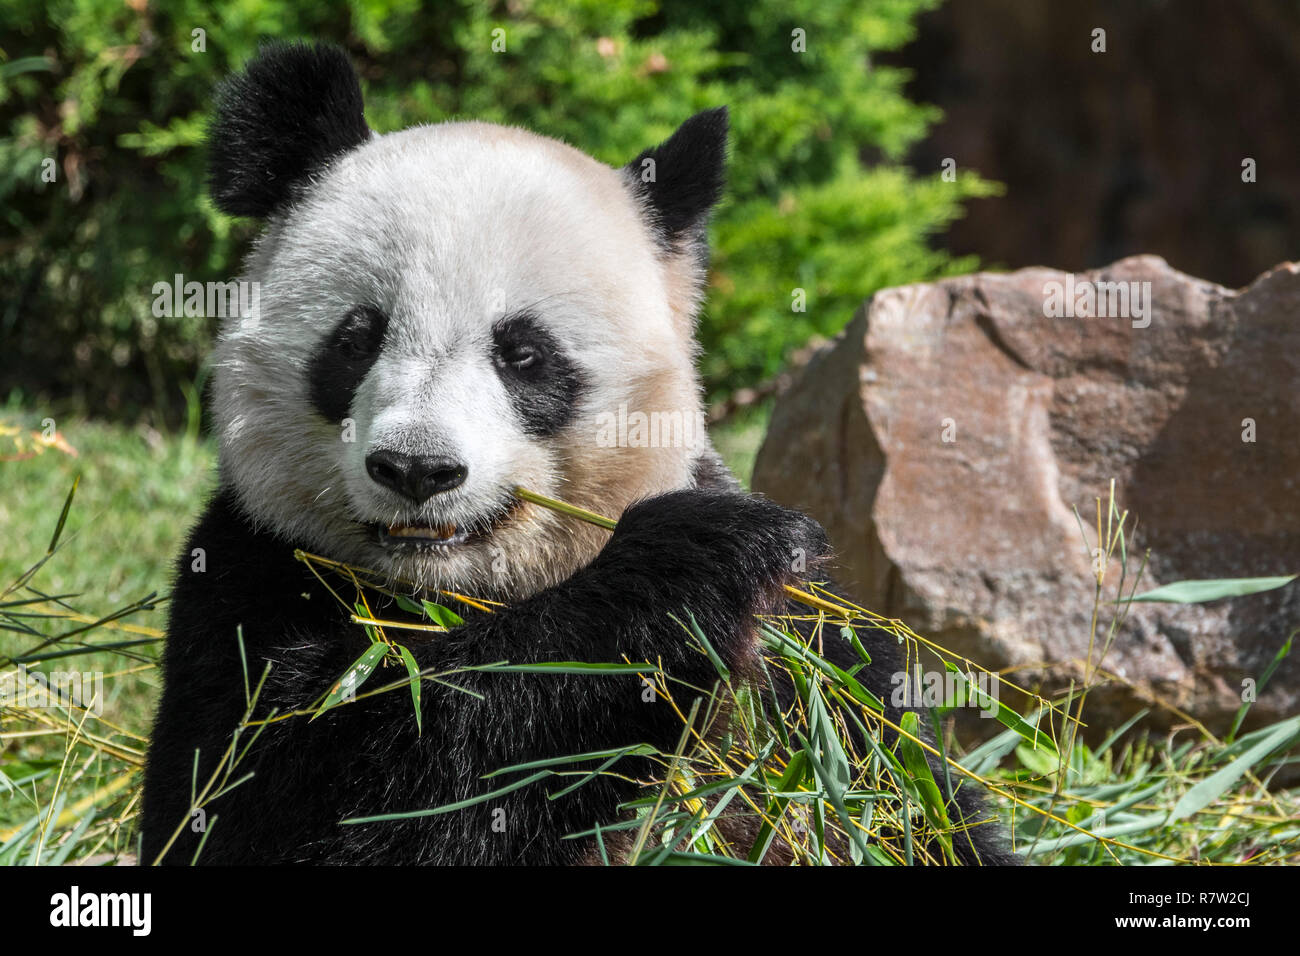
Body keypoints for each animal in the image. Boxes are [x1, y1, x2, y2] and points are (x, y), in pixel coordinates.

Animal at [142, 42, 1013, 868]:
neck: (453, 594)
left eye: (524, 355)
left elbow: (902, 801)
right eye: (356, 340)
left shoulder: (805, 650)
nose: (418, 470)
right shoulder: (248, 582)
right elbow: (306, 803)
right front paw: (695, 557)